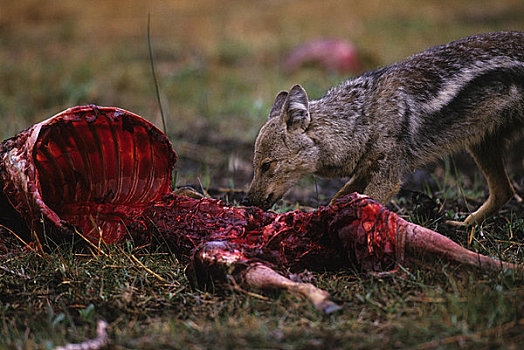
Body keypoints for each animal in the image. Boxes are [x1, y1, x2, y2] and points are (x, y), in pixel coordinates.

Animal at [246, 31, 524, 226]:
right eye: (255, 166)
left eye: (267, 165)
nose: (246, 202)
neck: (364, 119)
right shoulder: (364, 171)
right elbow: (335, 201)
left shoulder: (388, 179)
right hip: (480, 145)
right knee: (504, 191)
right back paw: (463, 226)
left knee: (504, 190)